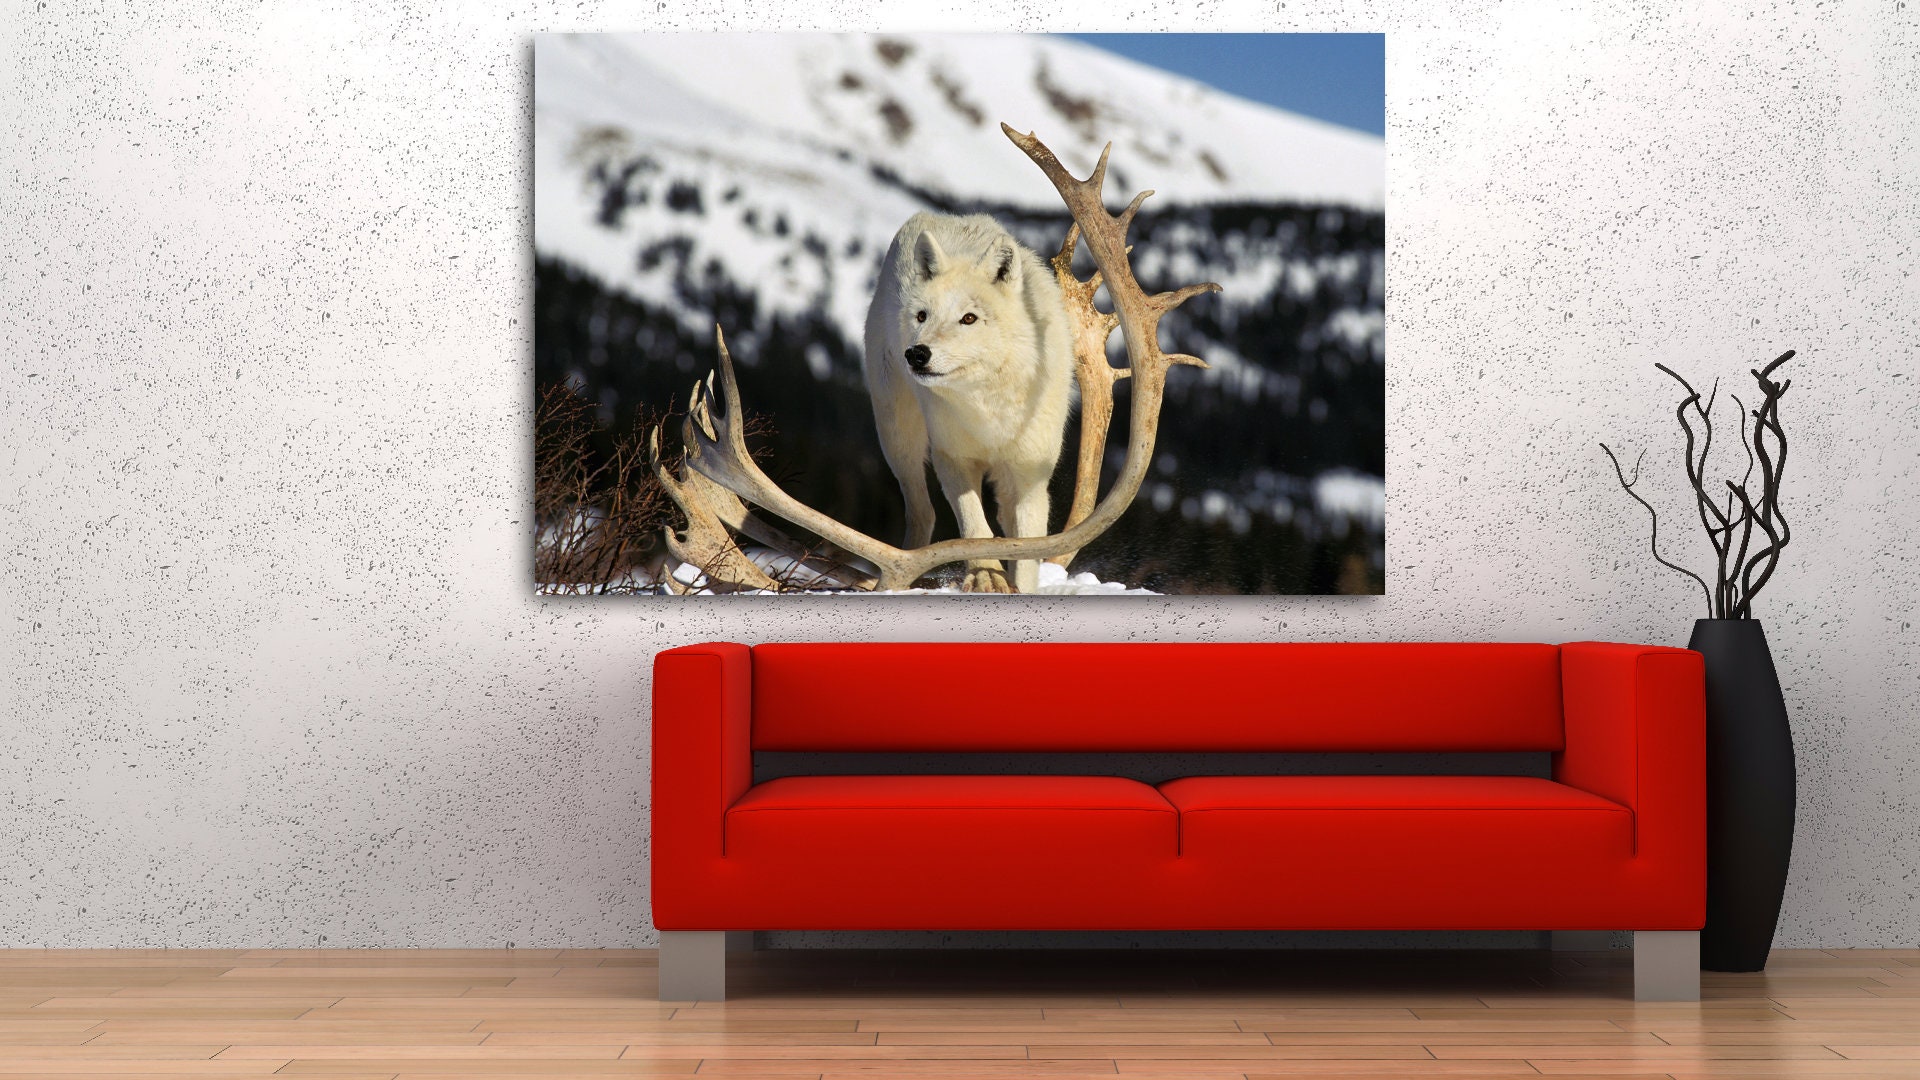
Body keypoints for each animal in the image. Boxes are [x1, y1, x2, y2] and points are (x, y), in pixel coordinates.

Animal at [863, 211, 1076, 593]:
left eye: (969, 318)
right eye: (922, 316)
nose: (916, 354)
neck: (988, 411)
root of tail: (932, 216)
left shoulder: (1030, 472)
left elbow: (1026, 549)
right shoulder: (952, 457)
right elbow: (974, 525)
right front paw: (985, 576)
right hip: (898, 437)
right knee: (923, 512)